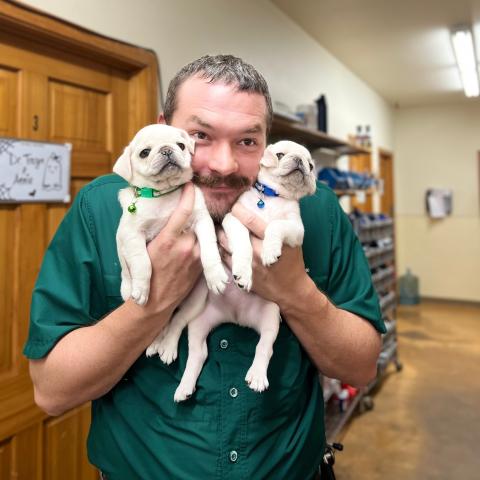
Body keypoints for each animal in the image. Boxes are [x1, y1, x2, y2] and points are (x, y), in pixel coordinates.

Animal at [113, 122, 228, 306]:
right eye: (144, 153)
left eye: (181, 145)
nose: (166, 150)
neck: (165, 193)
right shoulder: (132, 234)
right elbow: (142, 262)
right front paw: (141, 289)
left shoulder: (202, 220)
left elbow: (209, 248)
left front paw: (215, 276)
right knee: (126, 274)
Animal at [152, 141, 316, 404]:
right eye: (281, 155)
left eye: (310, 165)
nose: (301, 163)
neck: (272, 199)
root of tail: (236, 317)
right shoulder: (234, 220)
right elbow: (243, 243)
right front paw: (243, 271)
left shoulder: (295, 231)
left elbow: (275, 225)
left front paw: (269, 250)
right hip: (197, 317)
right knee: (193, 346)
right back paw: (180, 377)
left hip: (270, 318)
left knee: (264, 346)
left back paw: (256, 376)